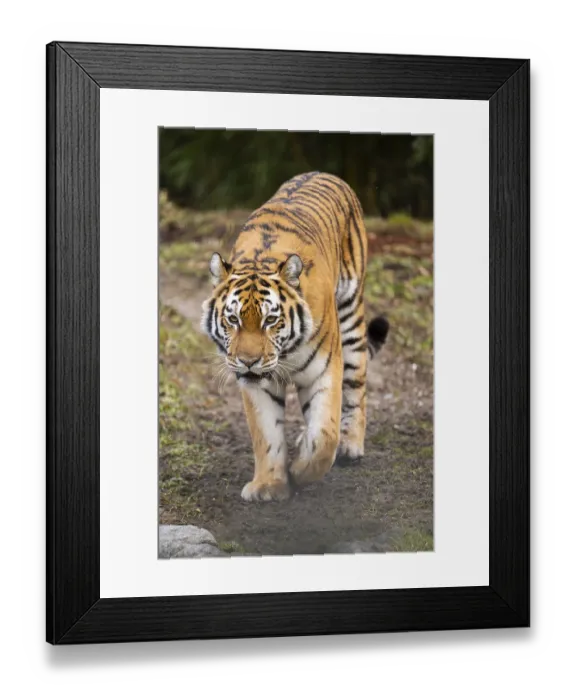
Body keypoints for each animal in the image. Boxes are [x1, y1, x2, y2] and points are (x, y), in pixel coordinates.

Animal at [200, 171, 389, 502]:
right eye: (233, 319)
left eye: (270, 320)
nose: (248, 361)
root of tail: (325, 173)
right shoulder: (257, 386)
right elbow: (266, 434)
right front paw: (268, 486)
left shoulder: (323, 369)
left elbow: (324, 435)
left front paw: (300, 470)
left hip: (351, 317)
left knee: (355, 387)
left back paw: (350, 446)